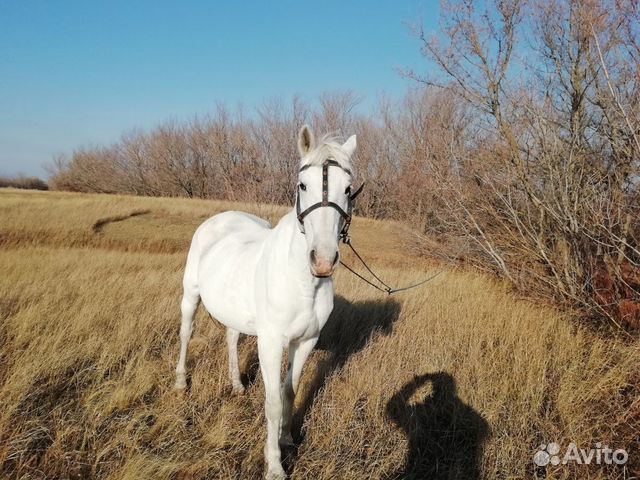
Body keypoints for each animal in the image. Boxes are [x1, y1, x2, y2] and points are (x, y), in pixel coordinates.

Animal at [172, 125, 358, 478]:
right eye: (302, 185)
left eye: (348, 189)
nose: (323, 260)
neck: (302, 282)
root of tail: (221, 217)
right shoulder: (271, 342)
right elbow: (272, 401)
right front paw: (274, 465)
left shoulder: (306, 341)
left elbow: (289, 391)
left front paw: (286, 439)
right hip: (191, 295)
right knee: (186, 333)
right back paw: (179, 383)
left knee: (231, 338)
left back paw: (236, 385)